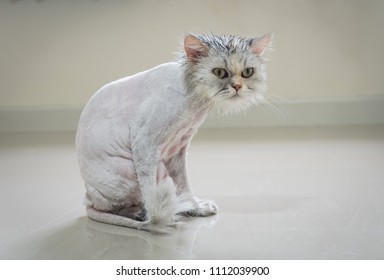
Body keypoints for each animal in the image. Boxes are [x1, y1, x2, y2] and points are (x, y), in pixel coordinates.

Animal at [75, 32, 272, 233]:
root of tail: (88, 198)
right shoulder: (144, 142)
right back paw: (143, 215)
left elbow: (184, 185)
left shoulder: (177, 150)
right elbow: (151, 192)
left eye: (247, 72)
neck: (195, 102)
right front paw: (158, 218)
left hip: (160, 168)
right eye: (219, 72)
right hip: (130, 169)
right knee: (118, 207)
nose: (238, 86)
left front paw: (197, 208)